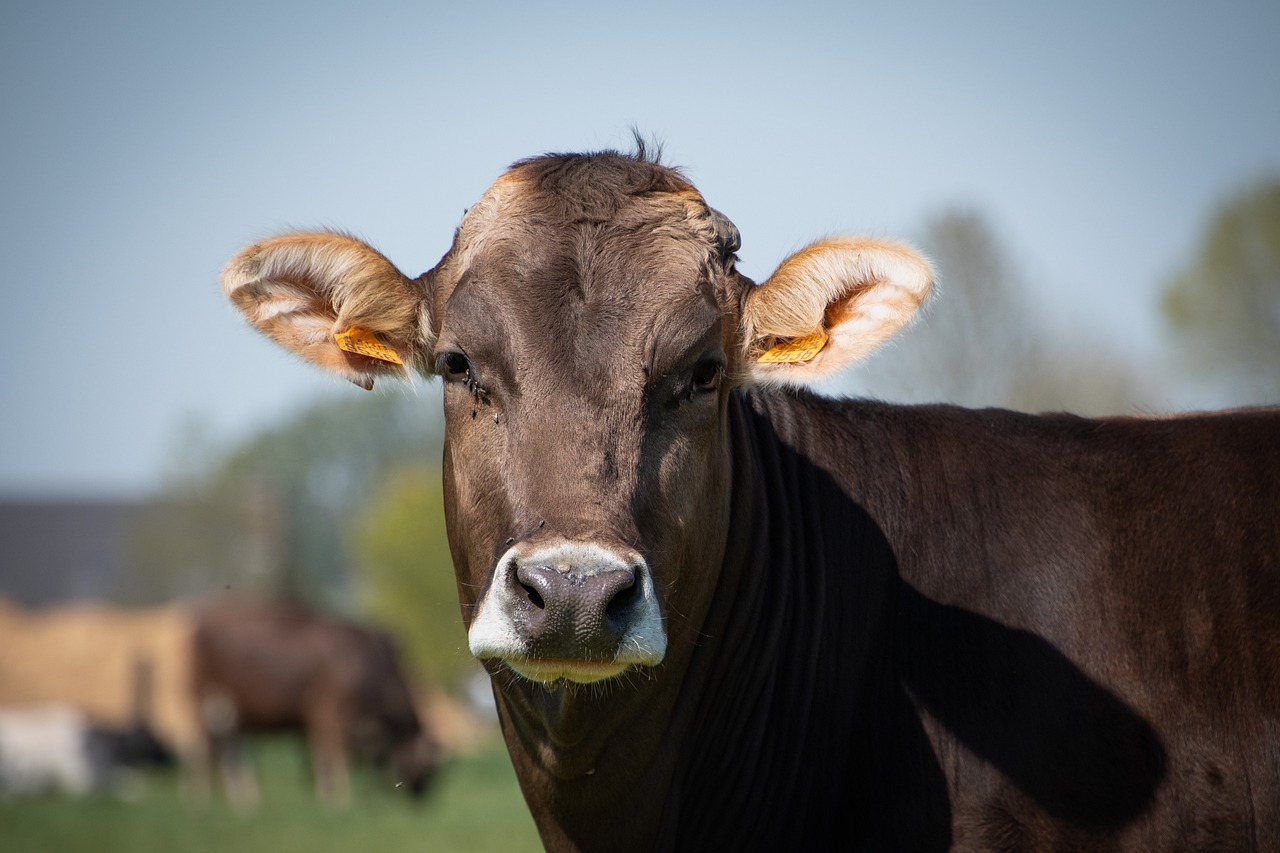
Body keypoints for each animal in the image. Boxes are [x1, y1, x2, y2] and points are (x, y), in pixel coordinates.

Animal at [190, 598, 440, 809]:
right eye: (428, 767)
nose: (422, 802)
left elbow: (322, 756)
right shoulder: (329, 710)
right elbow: (333, 754)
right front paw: (340, 800)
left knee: (225, 751)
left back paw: (236, 799)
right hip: (214, 703)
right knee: (210, 749)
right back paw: (215, 800)